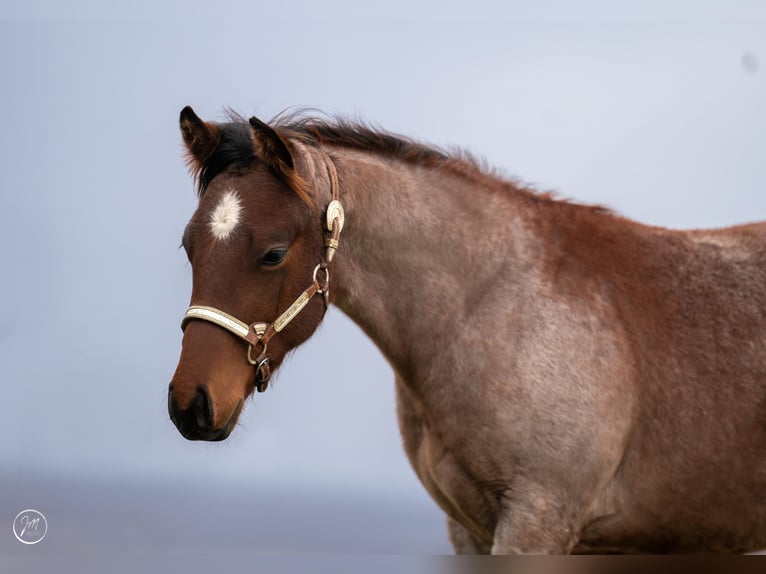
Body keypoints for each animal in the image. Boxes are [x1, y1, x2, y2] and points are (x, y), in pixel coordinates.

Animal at [167, 106, 766, 554]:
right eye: (189, 247)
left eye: (272, 253)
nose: (190, 403)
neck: (490, 309)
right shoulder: (468, 531)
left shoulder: (537, 521)